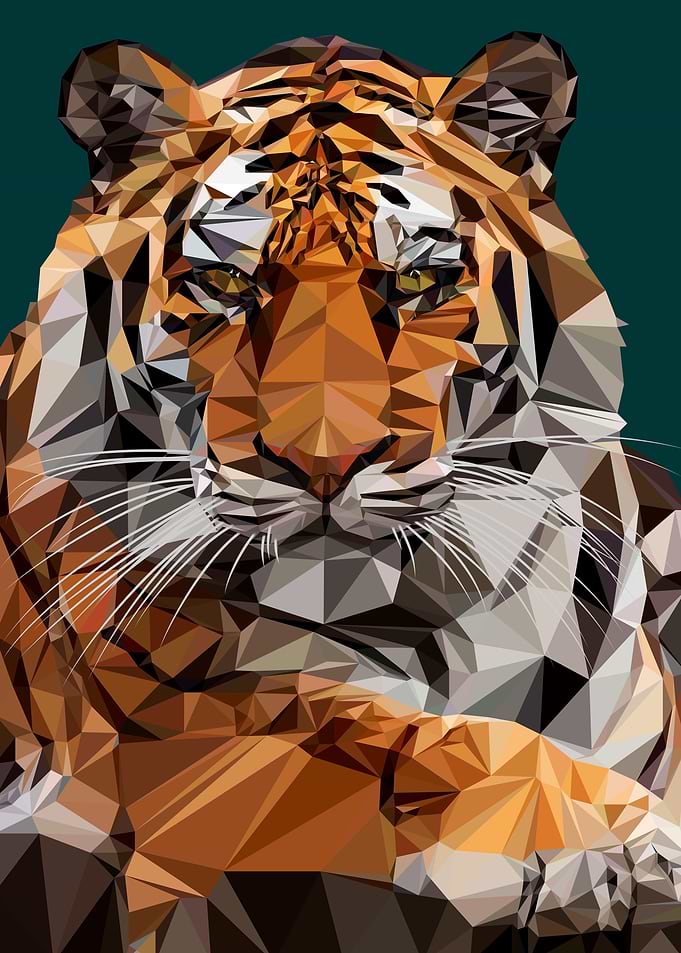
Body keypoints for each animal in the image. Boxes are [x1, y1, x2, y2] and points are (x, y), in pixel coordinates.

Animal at [1, 31, 680, 953]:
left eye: (416, 285)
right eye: (227, 287)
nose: (323, 465)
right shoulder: (186, 727)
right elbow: (408, 741)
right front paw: (621, 838)